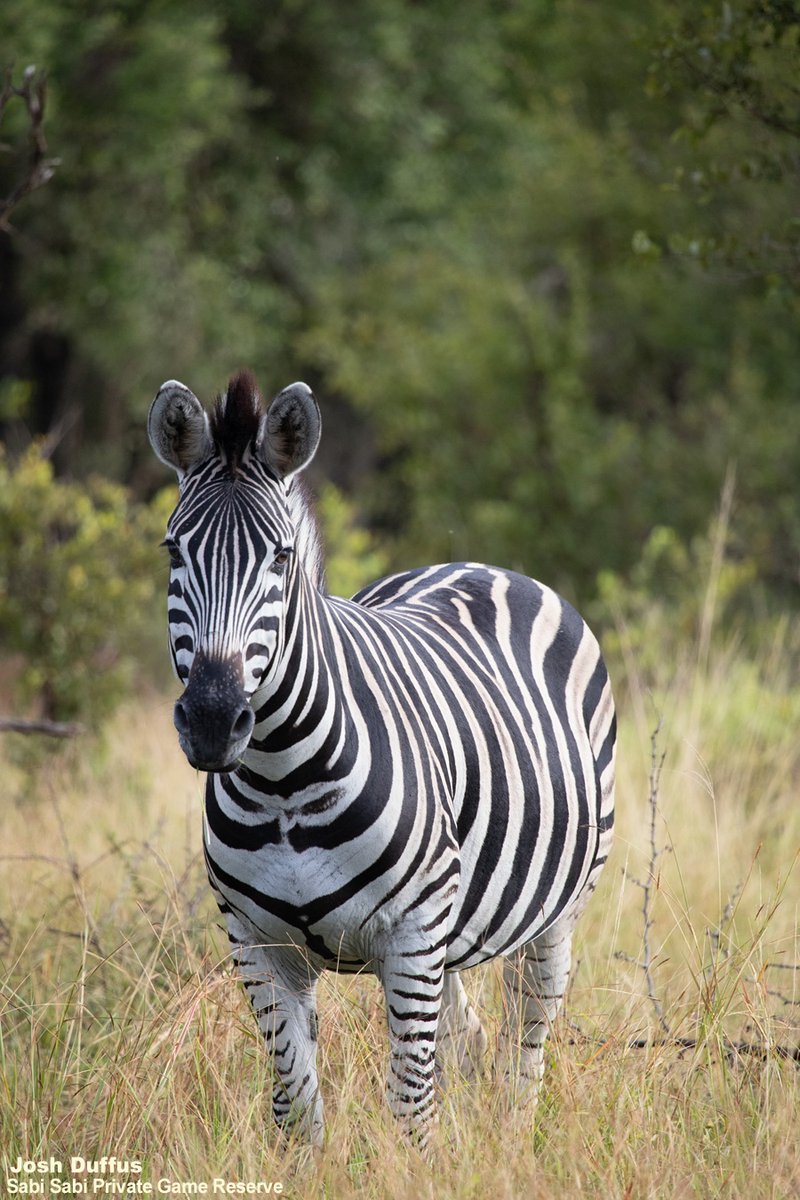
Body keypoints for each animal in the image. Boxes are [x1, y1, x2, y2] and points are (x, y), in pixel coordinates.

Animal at [147, 370, 615, 1148]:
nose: (213, 721)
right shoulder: (256, 945)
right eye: (172, 553)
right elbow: (297, 1109)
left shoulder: (412, 934)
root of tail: (476, 564)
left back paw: (511, 1144)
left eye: (280, 558)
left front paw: (425, 1162)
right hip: (448, 936)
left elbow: (410, 1109)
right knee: (469, 1040)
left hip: (551, 914)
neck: (283, 785)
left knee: (526, 1043)